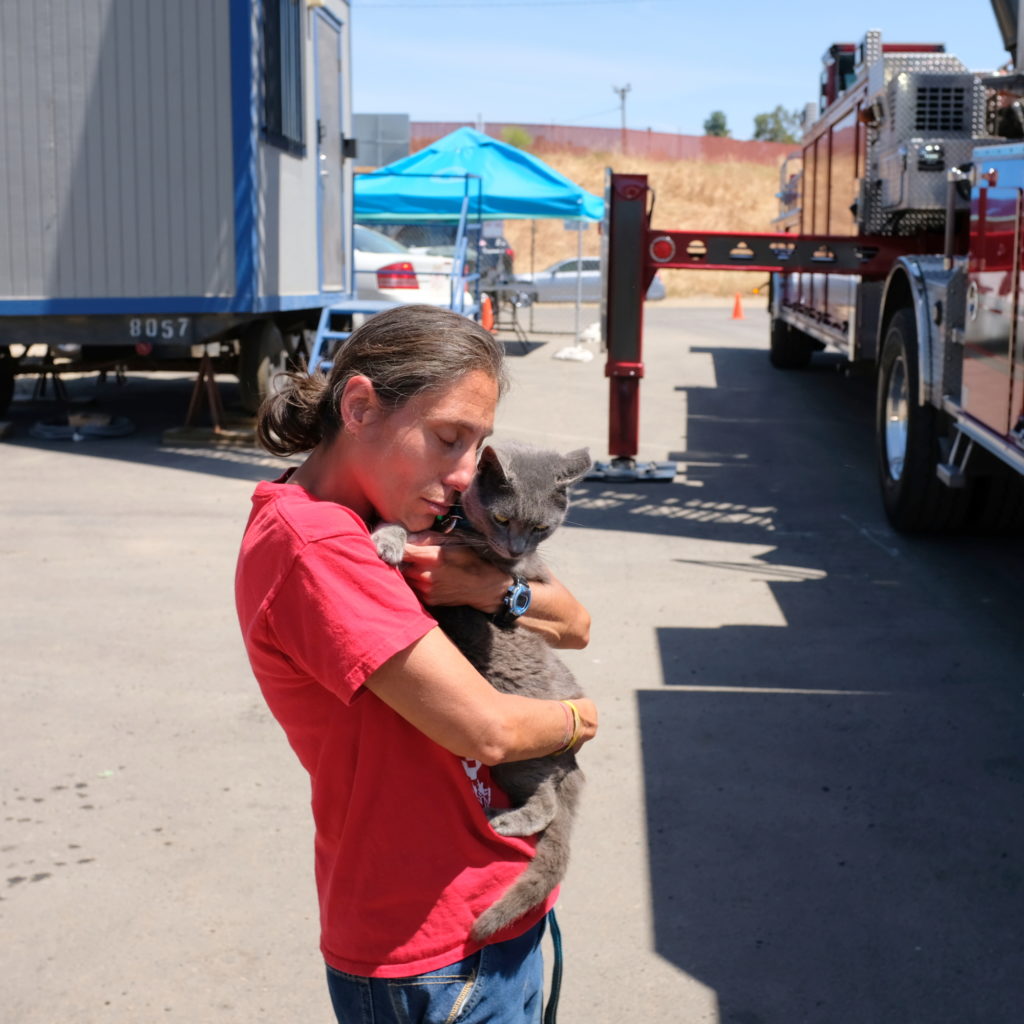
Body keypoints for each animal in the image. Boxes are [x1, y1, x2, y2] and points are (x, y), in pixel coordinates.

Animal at [374, 444, 593, 937]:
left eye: (540, 528)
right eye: (502, 518)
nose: (514, 547)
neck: (463, 530)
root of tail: (570, 761)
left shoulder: (508, 568)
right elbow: (406, 526)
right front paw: (387, 539)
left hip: (516, 750)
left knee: (548, 804)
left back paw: (505, 821)